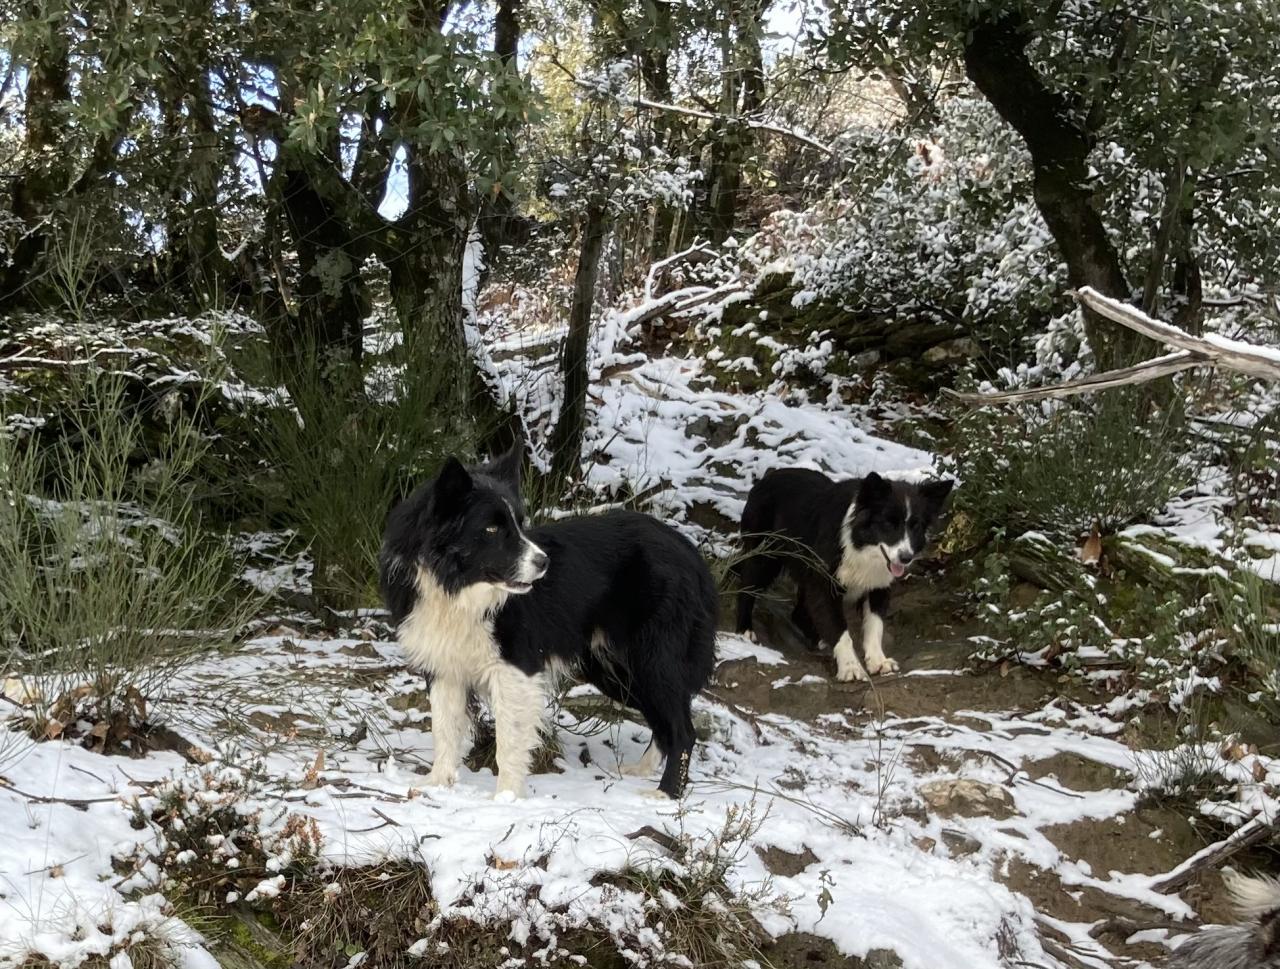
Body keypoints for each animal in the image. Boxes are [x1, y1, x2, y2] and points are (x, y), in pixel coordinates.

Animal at [378, 450, 721, 798]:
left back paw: (665, 794)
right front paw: (437, 783)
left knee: (683, 730)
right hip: (615, 668)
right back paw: (642, 771)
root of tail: (689, 551)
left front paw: (506, 797)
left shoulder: (515, 668)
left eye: (519, 524)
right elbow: (444, 729)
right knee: (664, 723)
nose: (544, 563)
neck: (456, 589)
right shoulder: (444, 667)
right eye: (491, 529)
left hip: (653, 659)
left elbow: (508, 741)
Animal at [732, 465, 952, 680]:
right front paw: (850, 668)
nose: (906, 558)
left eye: (916, 526)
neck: (859, 544)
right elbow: (840, 630)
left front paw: (878, 661)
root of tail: (768, 475)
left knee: (798, 612)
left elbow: (875, 625)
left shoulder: (877, 586)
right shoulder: (825, 585)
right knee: (746, 588)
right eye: (889, 523)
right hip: (764, 557)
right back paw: (744, 631)